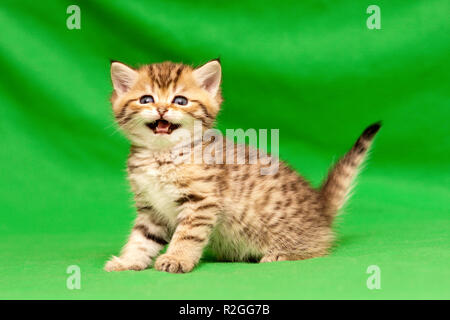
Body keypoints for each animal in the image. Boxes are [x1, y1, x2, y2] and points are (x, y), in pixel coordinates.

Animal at [104, 59, 380, 272]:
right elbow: (141, 239)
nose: (162, 108)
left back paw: (282, 254)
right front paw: (128, 261)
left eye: (180, 101)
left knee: (318, 248)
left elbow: (187, 235)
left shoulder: (201, 202)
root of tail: (320, 206)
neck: (161, 155)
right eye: (146, 99)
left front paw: (177, 258)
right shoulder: (151, 209)